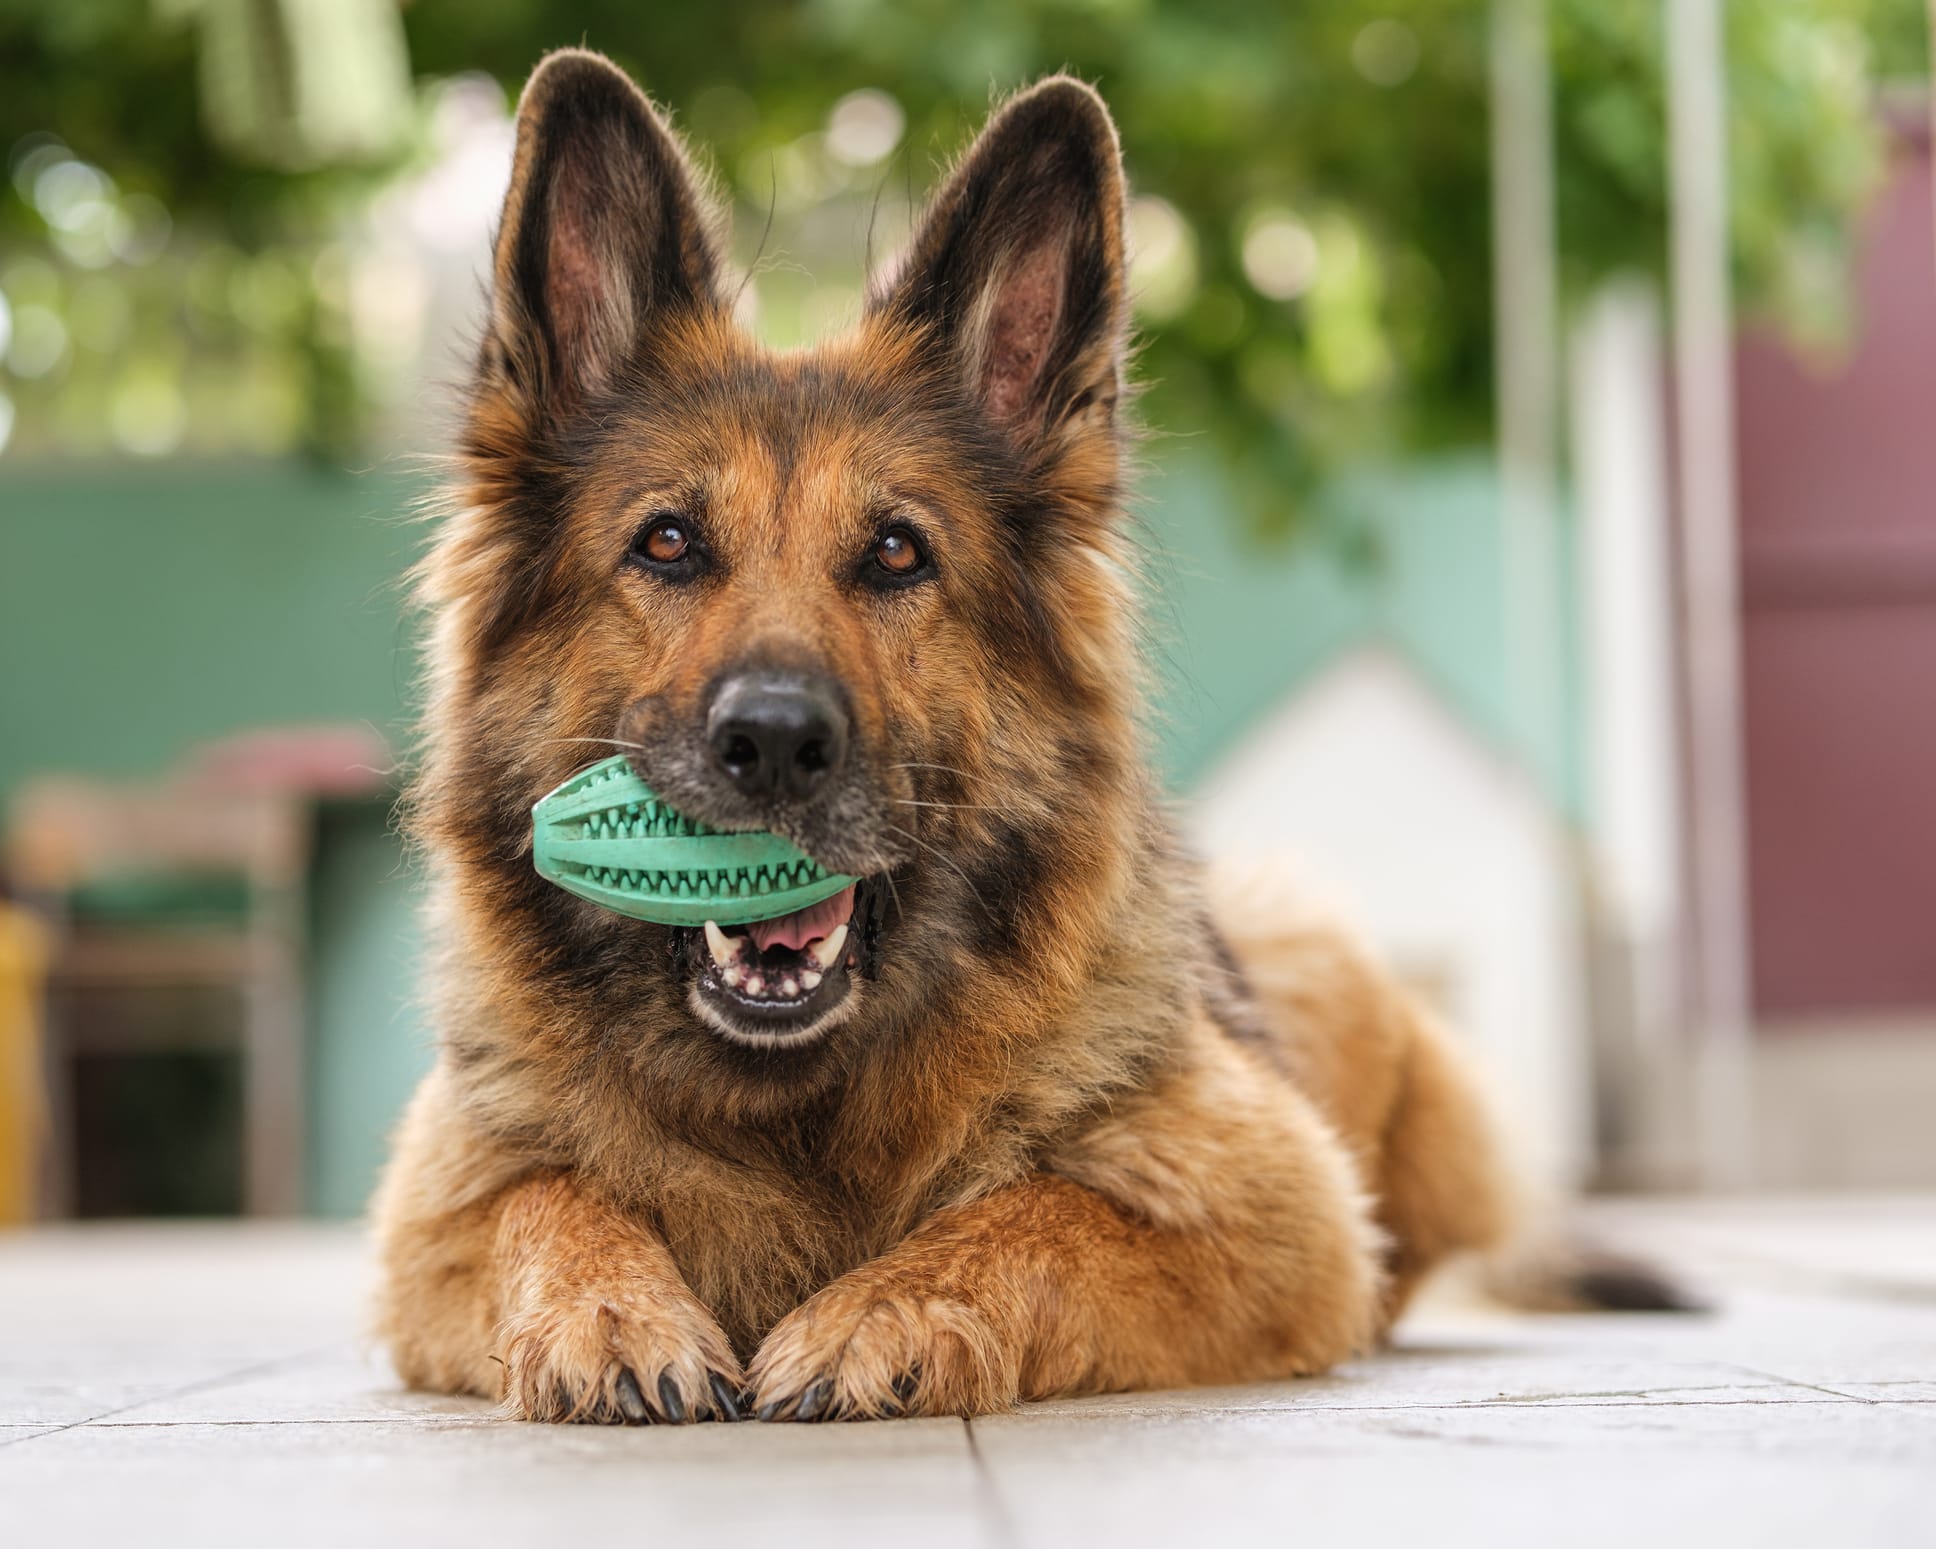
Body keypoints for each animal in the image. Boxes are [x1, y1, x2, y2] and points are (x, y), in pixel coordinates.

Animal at [377, 51, 1517, 1425]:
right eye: (667, 542)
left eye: (895, 552)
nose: (772, 741)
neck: (798, 1108)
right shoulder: (435, 1210)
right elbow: (548, 1196)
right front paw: (607, 1309)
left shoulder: (1286, 1208)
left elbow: (1040, 1205)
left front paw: (886, 1311)